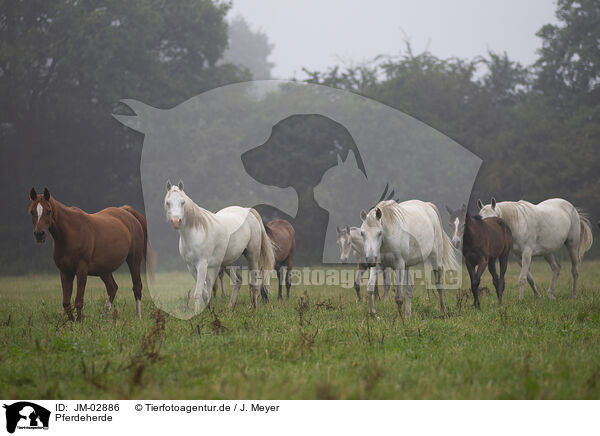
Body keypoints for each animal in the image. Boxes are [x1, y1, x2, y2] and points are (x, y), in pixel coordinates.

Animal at [29, 187, 154, 320]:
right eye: (31, 211)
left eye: (48, 211)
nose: (39, 234)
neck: (70, 233)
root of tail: (127, 212)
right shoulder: (65, 272)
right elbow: (66, 303)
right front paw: (72, 322)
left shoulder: (81, 270)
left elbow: (79, 300)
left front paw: (79, 322)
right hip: (104, 270)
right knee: (112, 288)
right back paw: (103, 319)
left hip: (133, 261)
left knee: (137, 287)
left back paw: (138, 317)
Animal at [165, 180, 276, 310]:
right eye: (168, 203)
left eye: (183, 202)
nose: (176, 221)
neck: (194, 233)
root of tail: (248, 211)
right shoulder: (191, 266)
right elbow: (205, 292)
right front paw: (208, 310)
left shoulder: (202, 264)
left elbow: (198, 293)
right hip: (227, 262)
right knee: (237, 281)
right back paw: (230, 307)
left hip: (252, 256)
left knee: (254, 284)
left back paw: (254, 308)